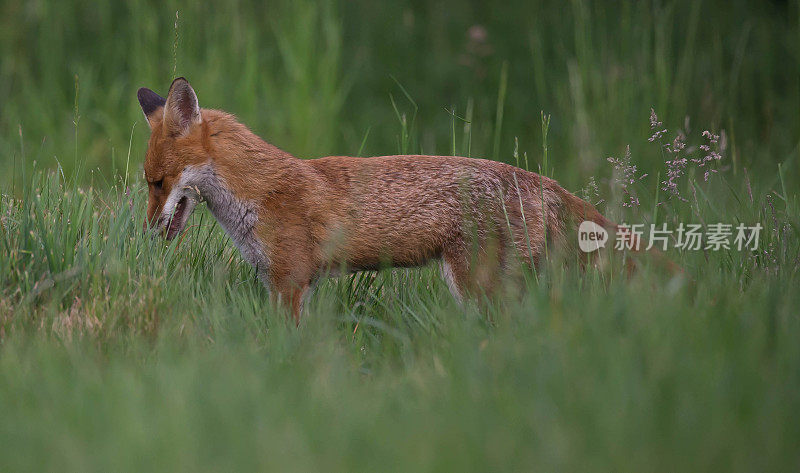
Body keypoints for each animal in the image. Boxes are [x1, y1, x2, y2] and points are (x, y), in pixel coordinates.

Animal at [138, 77, 616, 320]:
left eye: (158, 183)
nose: (146, 232)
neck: (259, 192)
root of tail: (541, 180)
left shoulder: (289, 280)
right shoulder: (290, 283)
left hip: (476, 286)